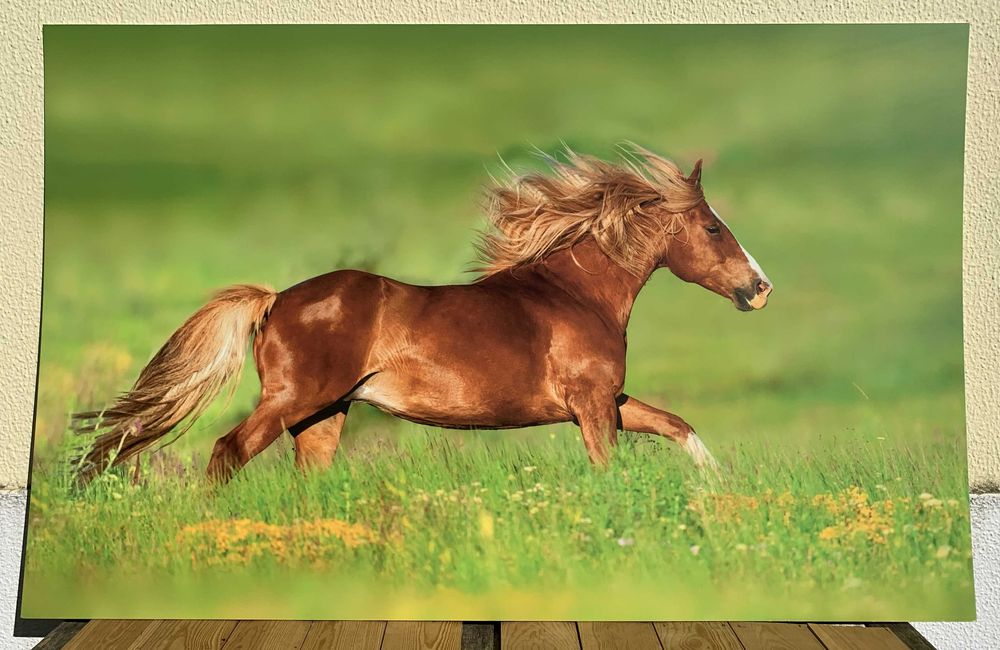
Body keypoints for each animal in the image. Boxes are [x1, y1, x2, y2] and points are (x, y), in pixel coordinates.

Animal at [73, 147, 772, 484]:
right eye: (713, 227)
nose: (760, 288)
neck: (574, 296)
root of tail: (275, 300)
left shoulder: (609, 400)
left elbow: (678, 425)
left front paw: (719, 487)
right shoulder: (592, 403)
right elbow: (610, 466)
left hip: (324, 415)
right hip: (294, 400)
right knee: (226, 452)